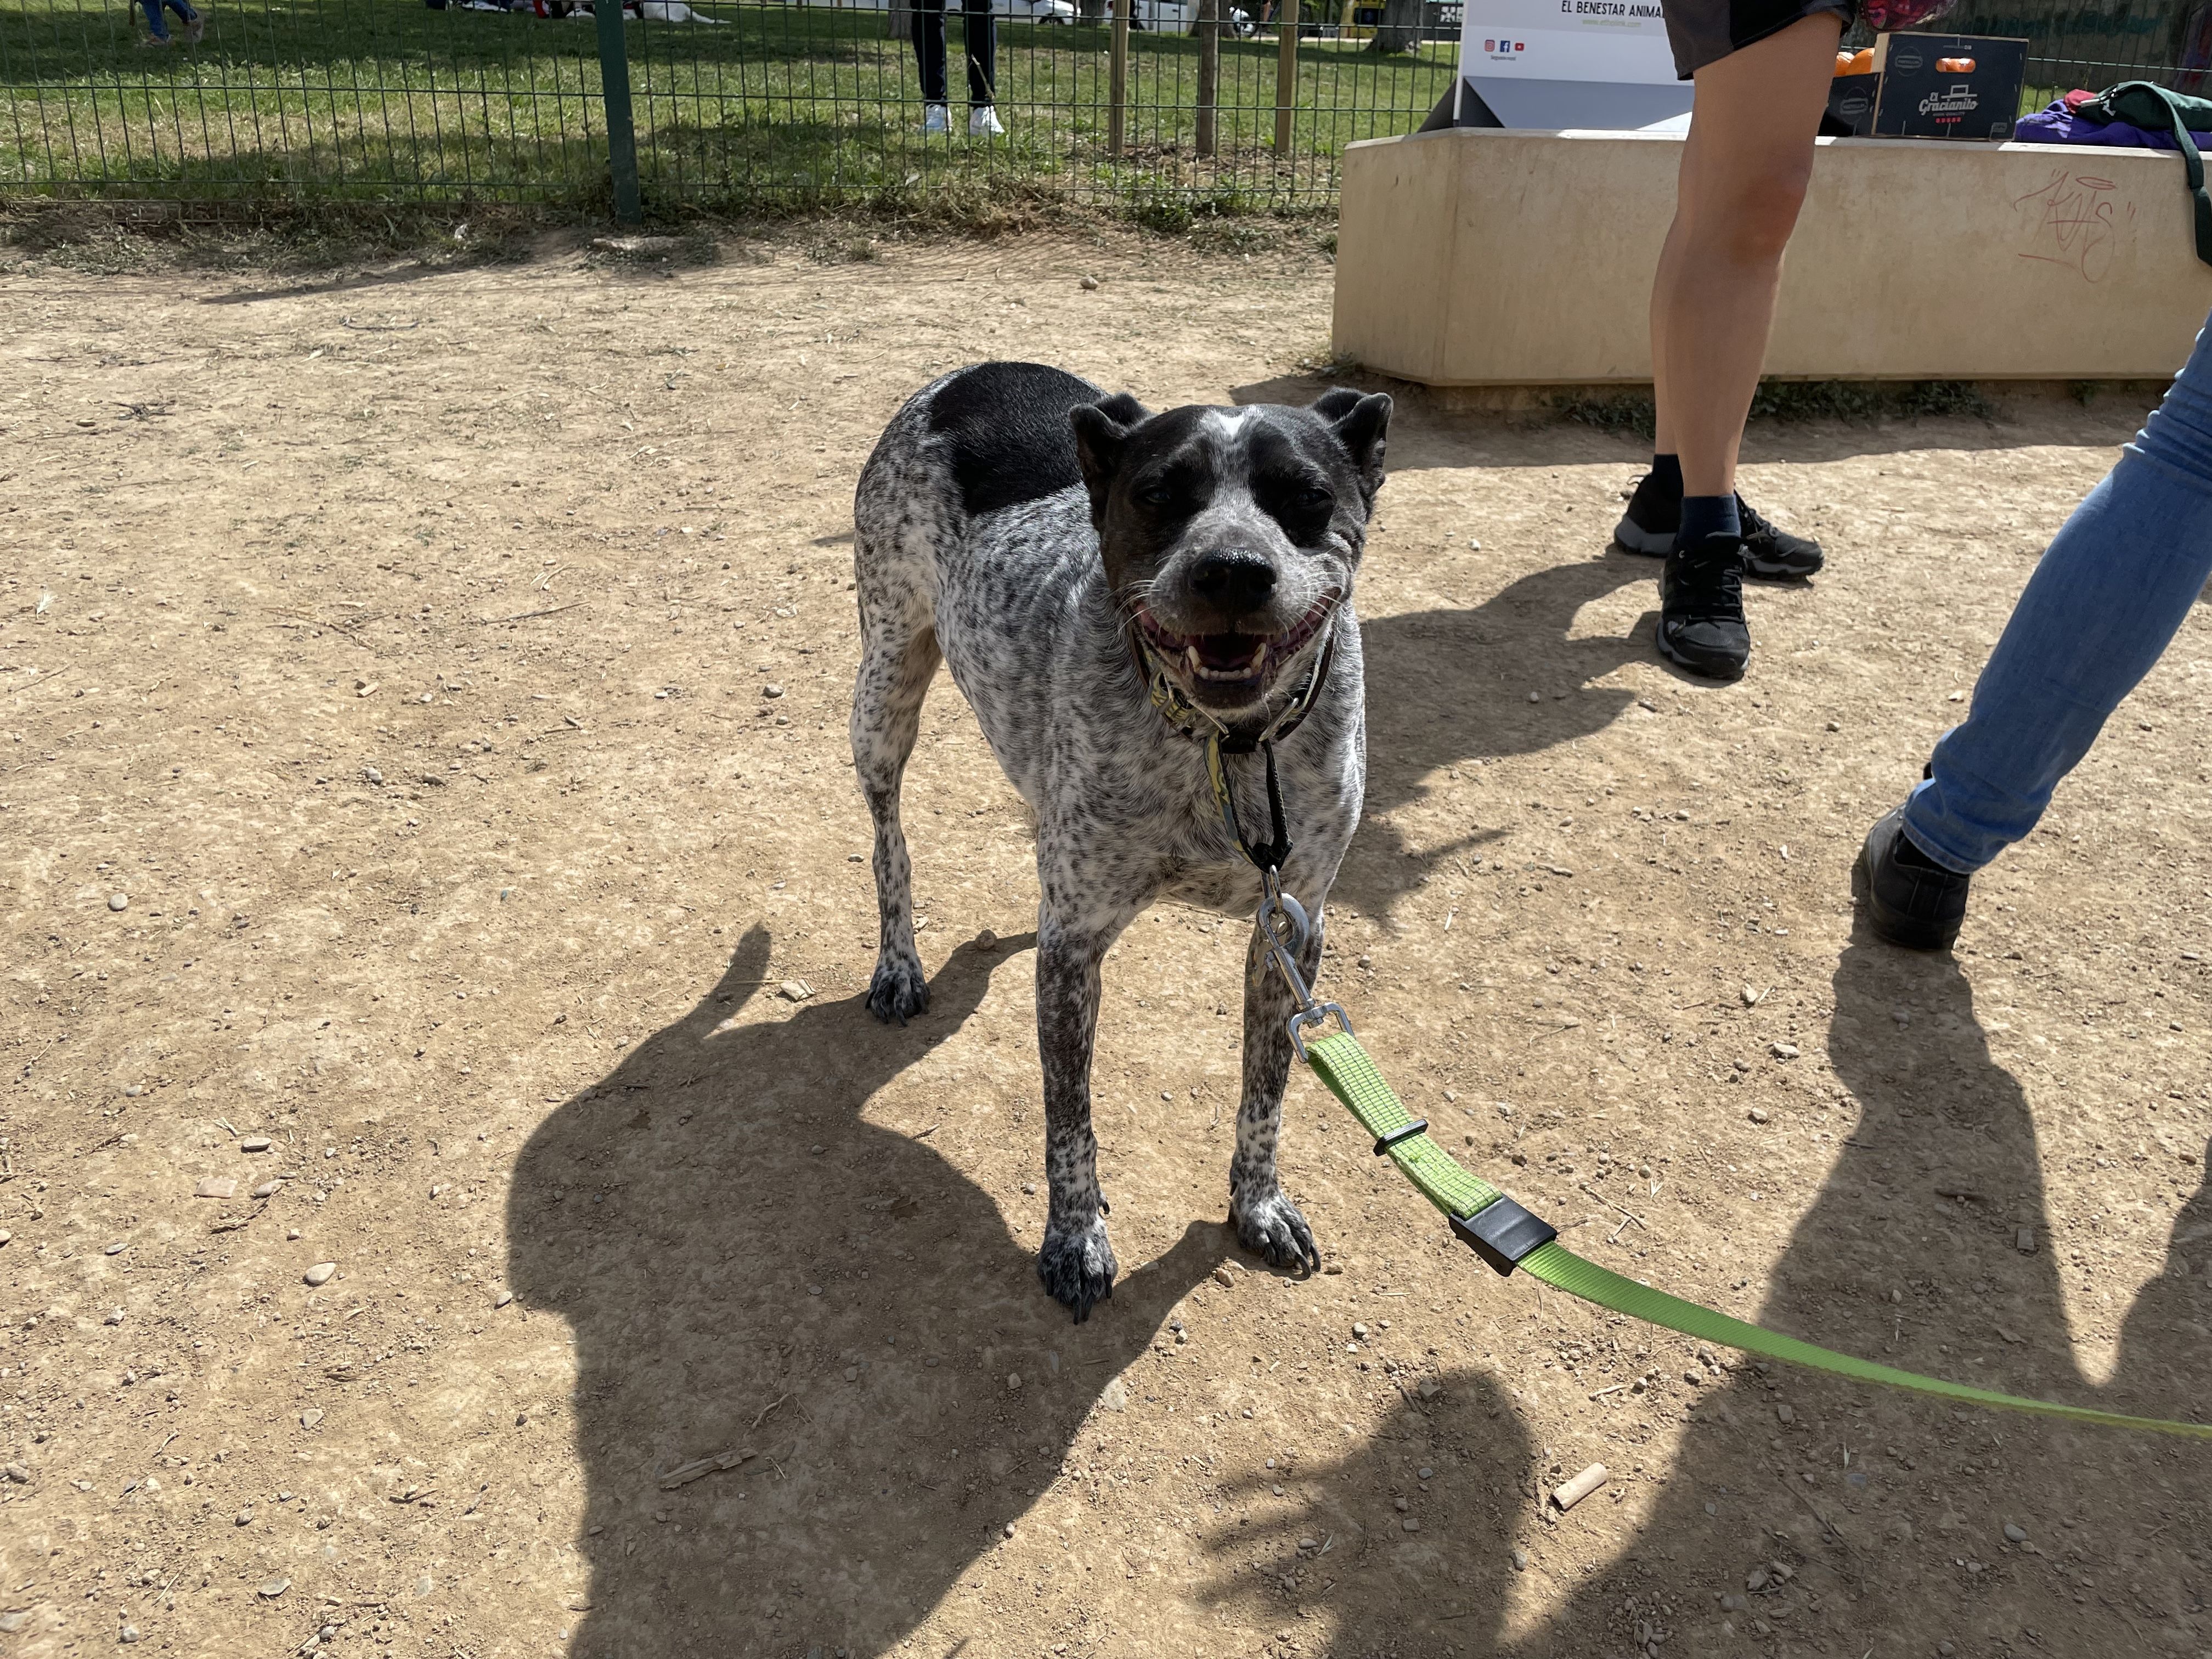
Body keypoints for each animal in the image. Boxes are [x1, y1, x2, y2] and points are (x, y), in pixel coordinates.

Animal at [845, 363, 1380, 1327]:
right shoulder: (1073, 951)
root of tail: (975, 372)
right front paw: (1075, 1238)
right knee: (888, 843)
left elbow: (1266, 1091)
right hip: (884, 690)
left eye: (1309, 498)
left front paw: (1257, 1206)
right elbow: (1071, 1120)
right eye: (1159, 493)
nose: (1232, 571)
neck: (1224, 747)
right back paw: (898, 963)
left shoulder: (1292, 931)